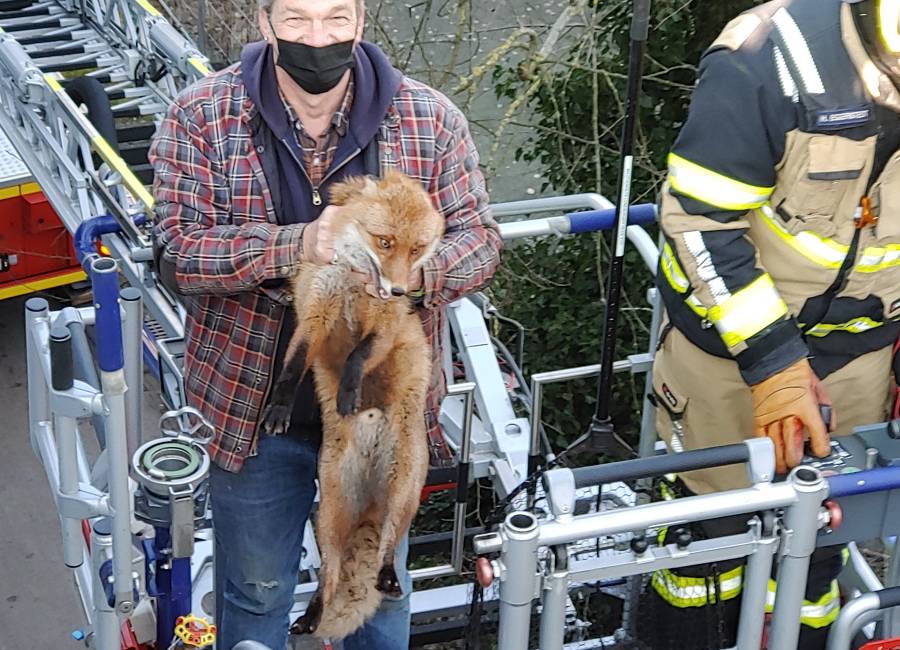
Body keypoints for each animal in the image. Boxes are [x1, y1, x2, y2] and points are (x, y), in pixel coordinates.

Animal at [258, 168, 444, 636]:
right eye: (385, 242)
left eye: (417, 249)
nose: (398, 289)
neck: (352, 283)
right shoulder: (314, 313)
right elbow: (293, 365)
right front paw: (279, 409)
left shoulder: (387, 324)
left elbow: (360, 355)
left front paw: (349, 392)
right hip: (327, 520)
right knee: (330, 576)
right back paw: (309, 619)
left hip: (405, 493)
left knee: (386, 552)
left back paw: (389, 579)